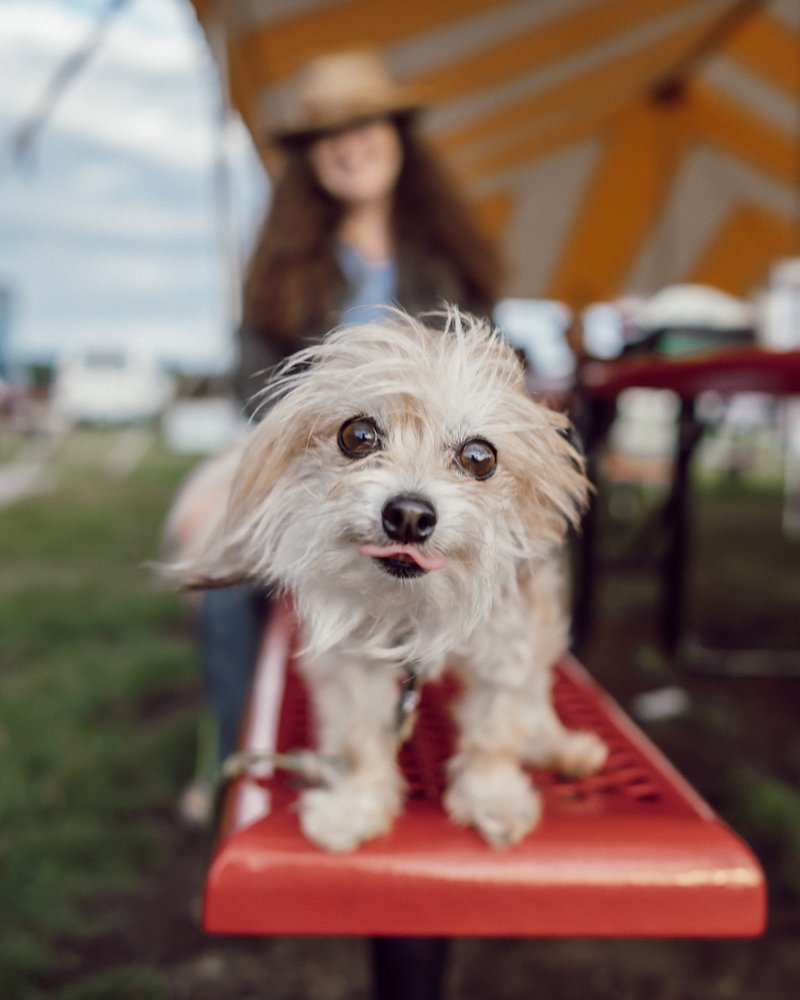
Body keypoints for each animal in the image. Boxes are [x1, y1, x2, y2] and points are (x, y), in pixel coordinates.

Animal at [177, 310, 608, 852]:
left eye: (479, 457)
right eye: (358, 436)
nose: (408, 515)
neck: (414, 610)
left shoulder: (505, 650)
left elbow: (495, 732)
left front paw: (493, 800)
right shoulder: (352, 667)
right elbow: (361, 742)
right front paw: (355, 808)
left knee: (535, 698)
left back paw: (557, 746)